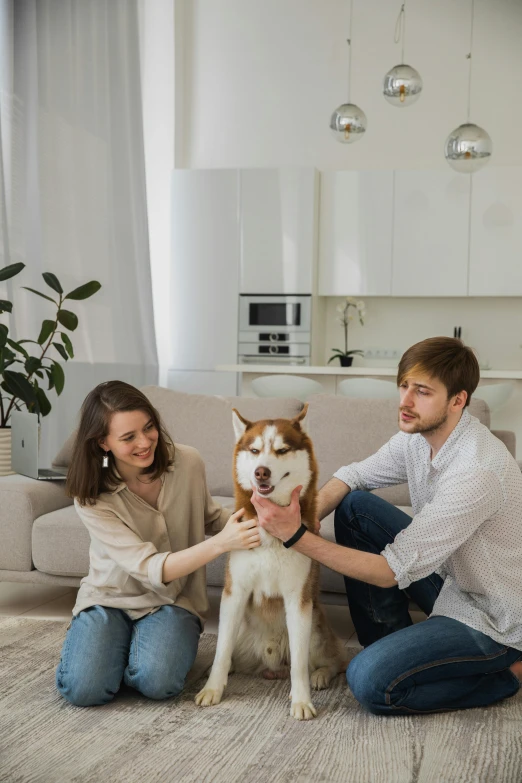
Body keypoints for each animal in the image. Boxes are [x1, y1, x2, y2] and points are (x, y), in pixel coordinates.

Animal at [194, 408, 346, 720]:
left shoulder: (298, 600)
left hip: (315, 626)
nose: (260, 471)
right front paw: (212, 689)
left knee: (335, 659)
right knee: (230, 655)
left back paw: (321, 675)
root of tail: (272, 665)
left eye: (281, 450)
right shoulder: (234, 593)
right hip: (241, 630)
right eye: (254, 450)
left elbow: (299, 664)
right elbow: (221, 652)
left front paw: (301, 701)